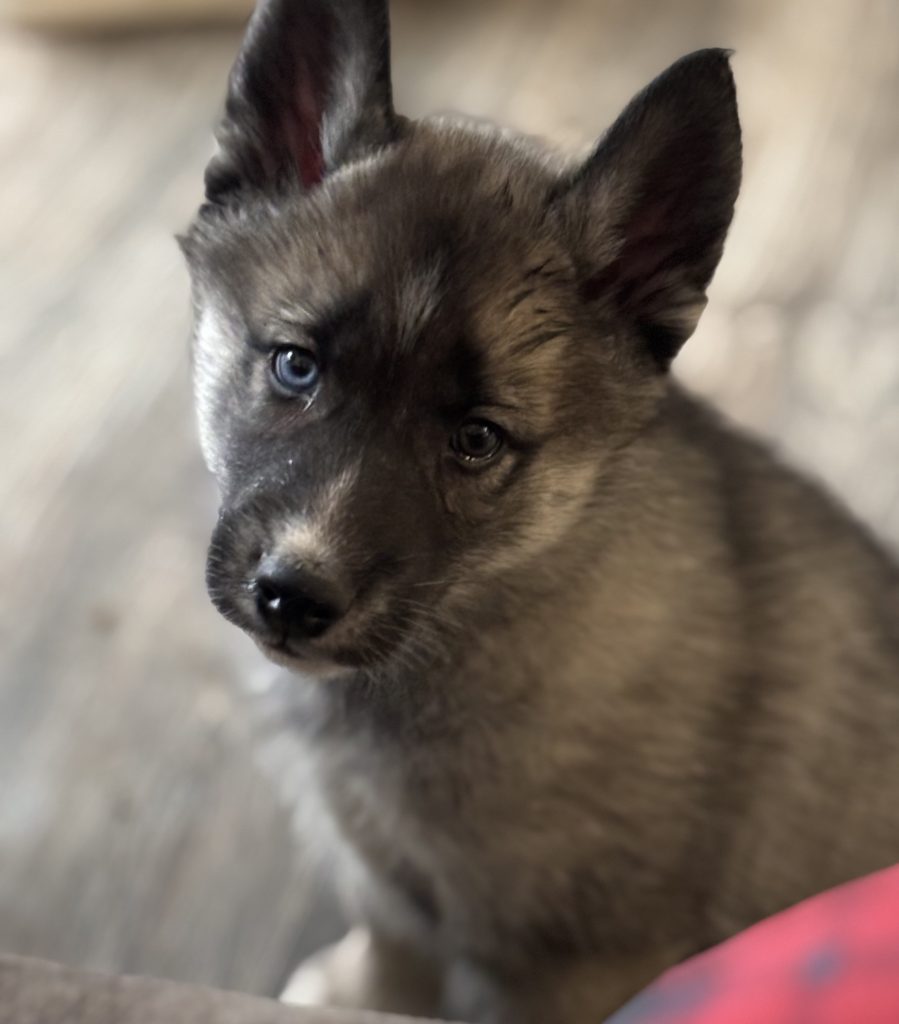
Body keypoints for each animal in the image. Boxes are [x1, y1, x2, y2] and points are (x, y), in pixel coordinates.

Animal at [179, 1, 899, 1020]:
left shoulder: (580, 967)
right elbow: (392, 947)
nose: (293, 597)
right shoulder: (384, 871)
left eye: (477, 440)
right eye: (294, 365)